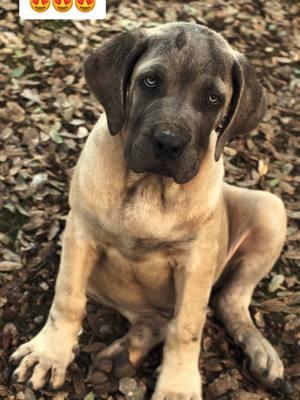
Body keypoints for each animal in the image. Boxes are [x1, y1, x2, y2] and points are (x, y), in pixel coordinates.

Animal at [10, 23, 288, 398]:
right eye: (151, 81)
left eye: (213, 99)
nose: (168, 143)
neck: (149, 187)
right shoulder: (81, 234)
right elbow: (67, 296)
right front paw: (49, 353)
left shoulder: (197, 261)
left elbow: (187, 328)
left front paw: (177, 387)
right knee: (158, 319)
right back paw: (121, 358)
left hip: (271, 209)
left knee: (227, 302)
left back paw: (263, 355)